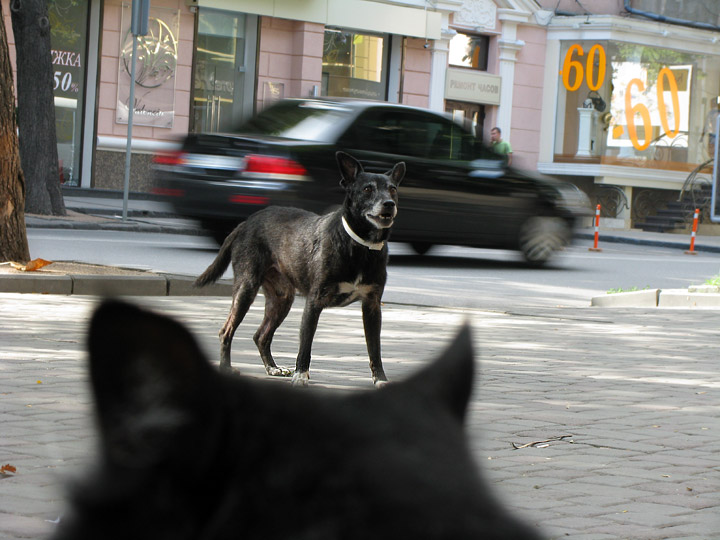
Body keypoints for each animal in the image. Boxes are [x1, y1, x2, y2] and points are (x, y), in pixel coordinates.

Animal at [194, 151, 402, 384]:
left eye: (393, 189)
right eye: (367, 189)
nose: (389, 204)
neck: (359, 246)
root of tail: (246, 223)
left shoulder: (372, 305)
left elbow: (375, 349)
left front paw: (380, 379)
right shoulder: (314, 303)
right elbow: (306, 344)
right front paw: (301, 374)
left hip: (282, 299)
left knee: (261, 335)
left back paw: (272, 368)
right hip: (246, 289)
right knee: (226, 331)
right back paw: (227, 368)